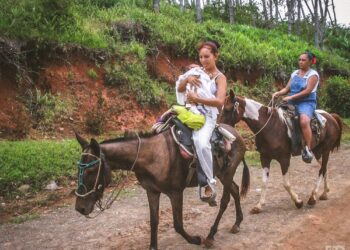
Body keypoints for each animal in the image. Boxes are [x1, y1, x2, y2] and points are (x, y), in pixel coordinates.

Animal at [74, 123, 249, 250]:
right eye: (78, 170)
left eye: (91, 170)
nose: (80, 208)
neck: (151, 156)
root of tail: (237, 134)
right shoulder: (152, 192)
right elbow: (154, 222)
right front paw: (153, 246)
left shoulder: (176, 193)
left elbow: (178, 224)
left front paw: (194, 239)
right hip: (222, 175)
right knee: (235, 190)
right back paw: (237, 223)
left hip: (227, 174)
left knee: (225, 200)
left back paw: (211, 235)